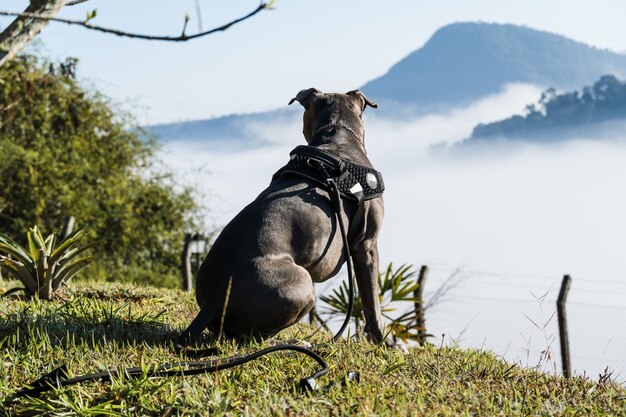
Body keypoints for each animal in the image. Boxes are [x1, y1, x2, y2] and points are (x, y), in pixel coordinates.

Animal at [178, 87, 394, 348]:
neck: (338, 133)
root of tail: (212, 303)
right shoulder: (366, 245)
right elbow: (372, 303)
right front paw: (386, 342)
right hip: (302, 283)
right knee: (252, 338)